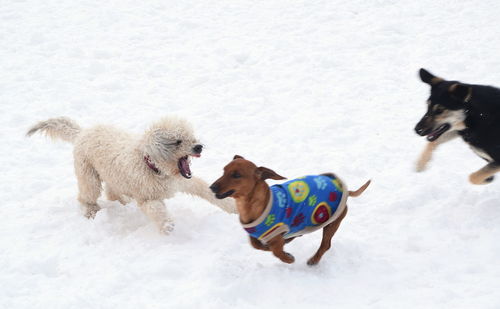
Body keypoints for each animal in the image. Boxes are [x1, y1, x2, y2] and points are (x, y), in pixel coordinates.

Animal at [27, 116, 236, 232]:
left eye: (192, 137)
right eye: (177, 141)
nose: (199, 146)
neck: (153, 166)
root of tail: (82, 133)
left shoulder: (184, 181)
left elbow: (206, 190)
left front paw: (232, 207)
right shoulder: (146, 197)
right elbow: (156, 209)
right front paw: (167, 226)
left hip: (112, 176)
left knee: (111, 192)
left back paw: (122, 202)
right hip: (88, 175)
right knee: (86, 196)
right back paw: (92, 212)